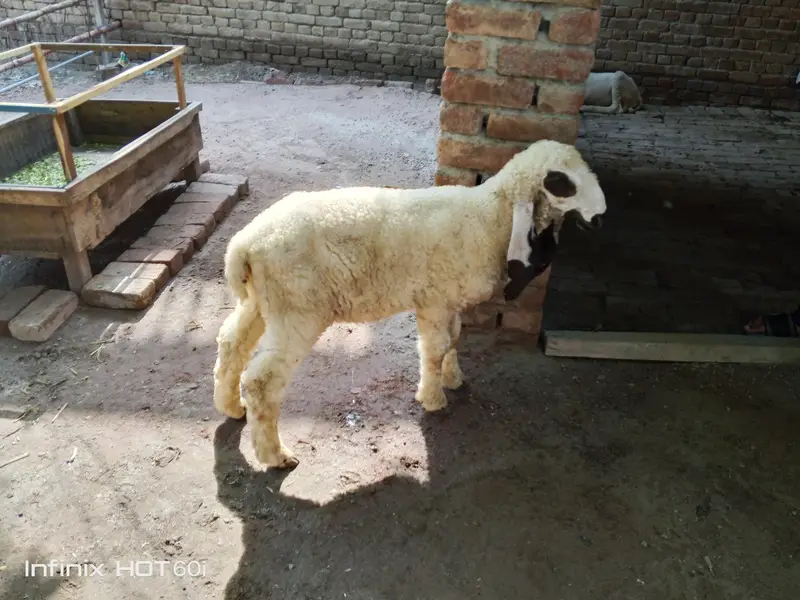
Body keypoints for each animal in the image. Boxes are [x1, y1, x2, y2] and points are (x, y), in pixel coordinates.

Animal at [213, 139, 606, 469]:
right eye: (560, 182)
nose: (602, 216)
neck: (490, 218)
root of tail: (244, 245)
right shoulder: (433, 300)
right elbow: (436, 348)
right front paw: (432, 398)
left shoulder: (448, 298)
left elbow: (454, 339)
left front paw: (453, 378)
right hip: (298, 308)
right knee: (262, 380)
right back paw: (275, 456)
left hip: (263, 301)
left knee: (231, 342)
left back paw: (231, 407)